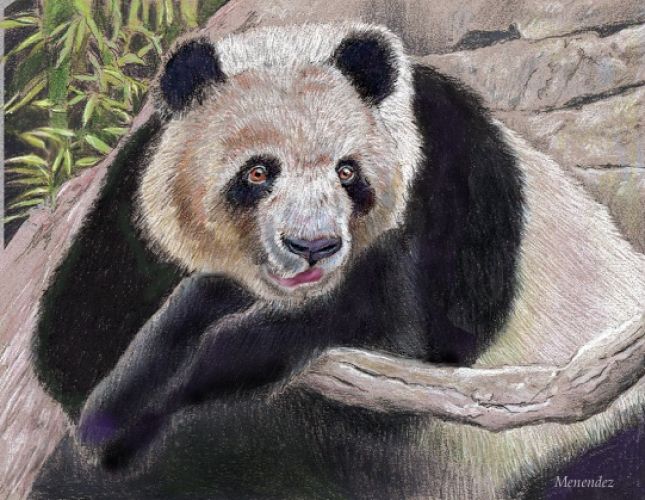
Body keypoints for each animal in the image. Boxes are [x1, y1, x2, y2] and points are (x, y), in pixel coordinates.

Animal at [32, 23, 644, 499]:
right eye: (258, 172)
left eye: (347, 172)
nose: (314, 247)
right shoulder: (135, 199)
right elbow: (73, 340)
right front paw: (121, 401)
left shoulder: (449, 173)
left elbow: (409, 333)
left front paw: (211, 353)